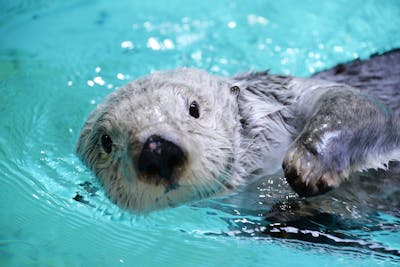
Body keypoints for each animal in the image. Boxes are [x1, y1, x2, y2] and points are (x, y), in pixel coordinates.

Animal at [76, 49, 400, 214]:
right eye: (106, 141)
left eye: (193, 109)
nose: (158, 151)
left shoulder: (290, 96)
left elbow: (356, 105)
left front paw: (308, 165)